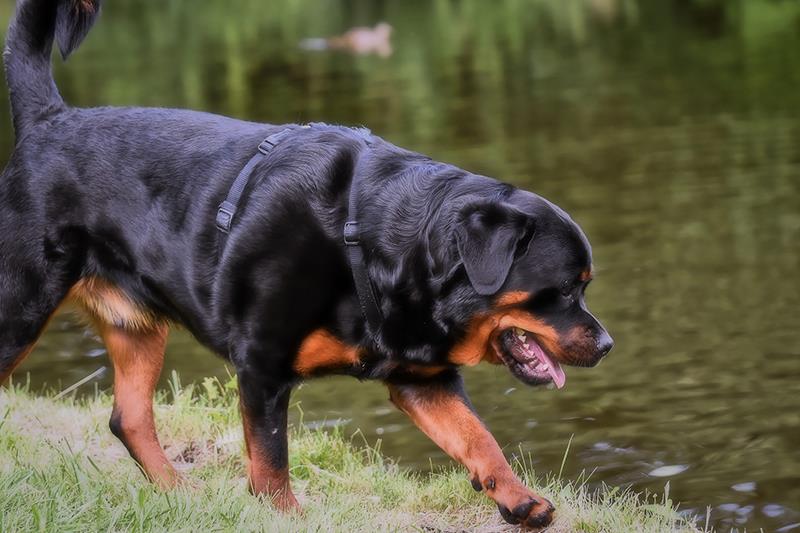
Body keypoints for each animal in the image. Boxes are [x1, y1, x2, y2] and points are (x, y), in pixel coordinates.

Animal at [0, 0, 612, 528]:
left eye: (584, 287)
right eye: (564, 289)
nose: (607, 345)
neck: (374, 243)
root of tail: (49, 119)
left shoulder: (424, 377)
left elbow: (477, 436)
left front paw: (518, 498)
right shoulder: (263, 364)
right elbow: (271, 459)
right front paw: (285, 516)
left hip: (136, 325)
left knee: (128, 418)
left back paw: (179, 495)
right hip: (19, 307)